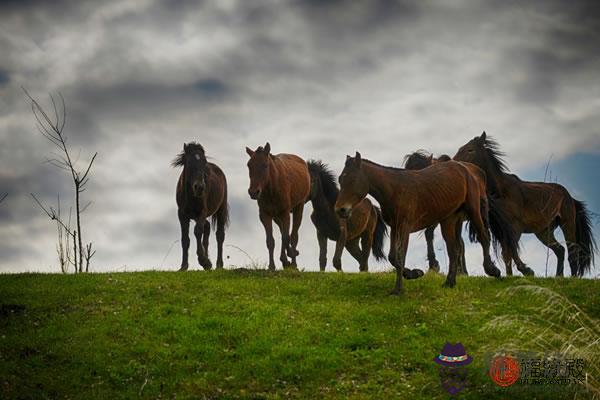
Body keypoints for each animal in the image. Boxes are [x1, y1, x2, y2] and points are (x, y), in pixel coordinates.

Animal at [175, 142, 231, 270]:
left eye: (204, 162)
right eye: (189, 162)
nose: (200, 187)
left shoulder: (202, 212)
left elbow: (197, 231)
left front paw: (204, 261)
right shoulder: (182, 215)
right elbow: (185, 240)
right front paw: (184, 266)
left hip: (220, 210)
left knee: (219, 235)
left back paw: (218, 264)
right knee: (207, 228)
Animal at [245, 142, 310, 270]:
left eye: (265, 165)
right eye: (249, 165)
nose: (253, 192)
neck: (272, 189)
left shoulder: (285, 213)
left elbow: (286, 237)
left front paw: (292, 255)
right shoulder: (265, 215)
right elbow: (271, 241)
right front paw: (272, 266)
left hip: (299, 207)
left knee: (293, 235)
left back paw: (293, 262)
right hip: (276, 216)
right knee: (282, 232)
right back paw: (285, 259)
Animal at [336, 152, 504, 296]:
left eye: (352, 179)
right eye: (340, 179)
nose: (340, 210)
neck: (394, 190)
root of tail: (467, 169)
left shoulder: (405, 227)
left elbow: (400, 256)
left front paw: (399, 289)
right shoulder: (395, 227)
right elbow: (393, 257)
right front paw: (414, 273)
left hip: (473, 210)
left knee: (483, 237)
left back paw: (492, 270)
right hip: (449, 220)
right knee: (454, 249)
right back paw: (450, 282)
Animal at [454, 133, 596, 276]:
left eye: (470, 149)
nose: (453, 162)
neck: (501, 191)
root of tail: (570, 198)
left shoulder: (514, 228)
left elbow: (511, 251)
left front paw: (526, 270)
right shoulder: (502, 229)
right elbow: (506, 255)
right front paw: (510, 275)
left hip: (567, 224)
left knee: (572, 253)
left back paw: (572, 277)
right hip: (543, 231)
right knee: (560, 250)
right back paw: (559, 276)